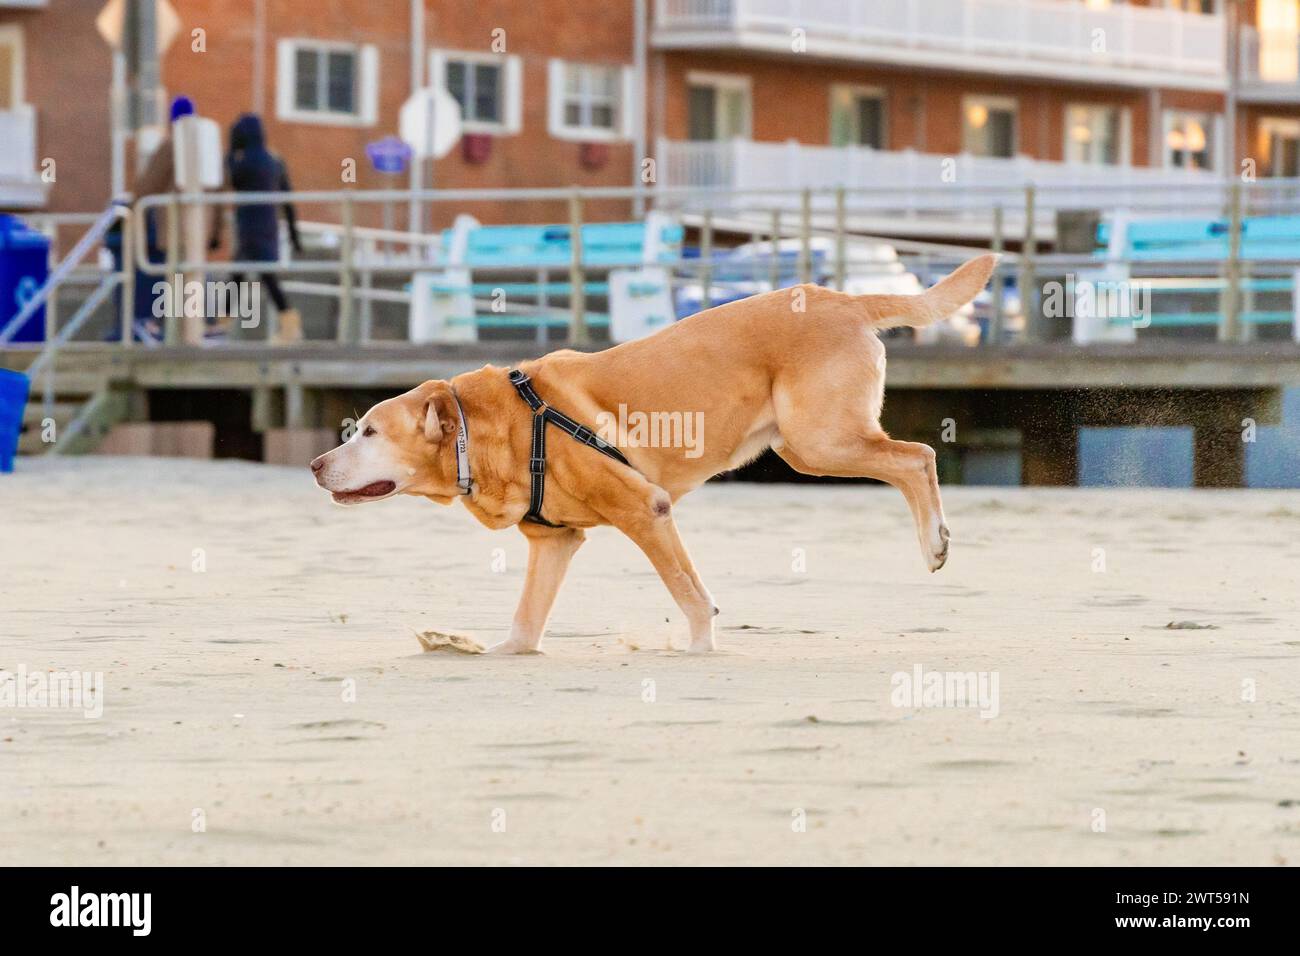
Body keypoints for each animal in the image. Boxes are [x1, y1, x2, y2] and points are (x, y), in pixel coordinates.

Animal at [312, 254, 993, 655]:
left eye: (368, 432)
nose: (316, 466)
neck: (491, 430)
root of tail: (844, 298)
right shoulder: (554, 543)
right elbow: (525, 624)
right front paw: (495, 652)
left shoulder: (647, 510)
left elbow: (689, 594)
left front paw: (701, 649)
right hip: (810, 444)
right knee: (912, 458)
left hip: (818, 441)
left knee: (918, 456)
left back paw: (934, 543)